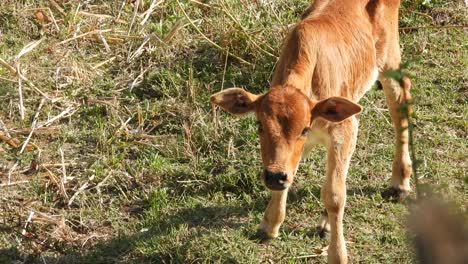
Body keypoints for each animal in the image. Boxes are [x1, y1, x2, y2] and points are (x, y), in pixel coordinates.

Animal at [210, 0, 412, 262]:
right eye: (259, 125)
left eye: (304, 128)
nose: (274, 176)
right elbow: (291, 169)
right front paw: (270, 224)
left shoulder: (344, 130)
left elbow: (334, 195)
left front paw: (337, 254)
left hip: (389, 58)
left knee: (400, 103)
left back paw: (400, 181)